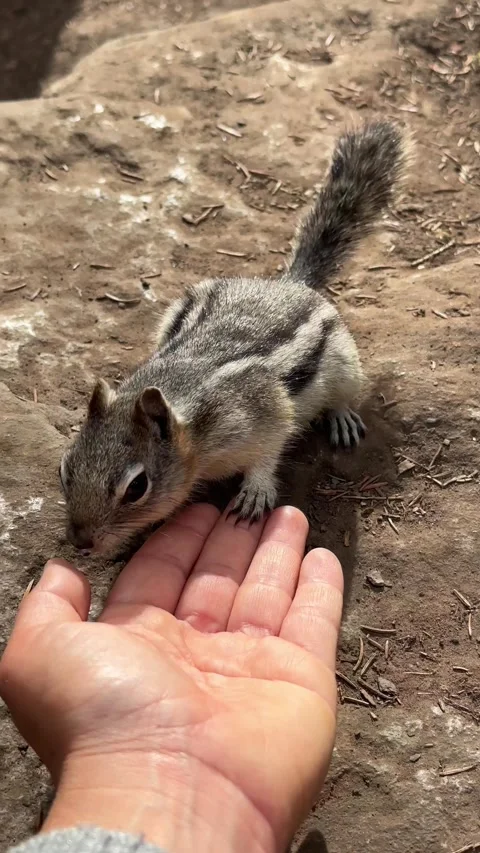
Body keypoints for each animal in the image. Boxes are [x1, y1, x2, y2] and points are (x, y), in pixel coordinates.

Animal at [60, 121, 407, 555]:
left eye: (136, 487)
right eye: (66, 468)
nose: (79, 542)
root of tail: (289, 284)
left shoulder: (265, 414)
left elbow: (269, 452)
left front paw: (255, 493)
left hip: (346, 365)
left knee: (344, 396)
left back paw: (341, 416)